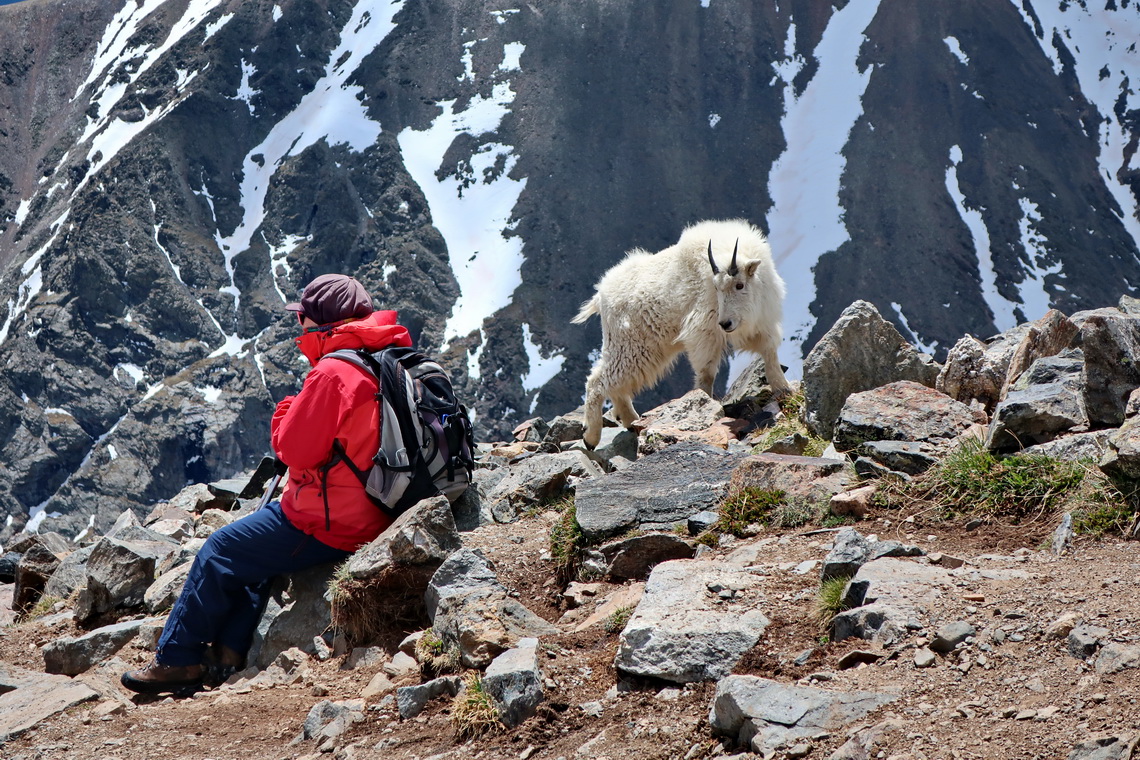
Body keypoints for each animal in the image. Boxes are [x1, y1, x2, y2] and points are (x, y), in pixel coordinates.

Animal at [574, 216, 788, 448]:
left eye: (739, 285)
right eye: (716, 288)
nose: (726, 323)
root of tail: (601, 295)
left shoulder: (762, 323)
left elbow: (770, 354)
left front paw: (785, 391)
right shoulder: (703, 331)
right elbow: (706, 374)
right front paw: (704, 403)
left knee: (615, 385)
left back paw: (630, 421)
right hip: (630, 345)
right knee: (598, 381)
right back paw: (591, 436)